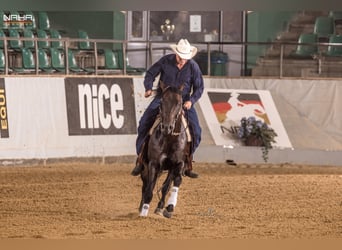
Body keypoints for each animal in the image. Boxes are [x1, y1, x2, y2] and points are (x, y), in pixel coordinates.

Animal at [140, 81, 192, 217]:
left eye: (179, 103)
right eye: (162, 101)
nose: (167, 127)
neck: (169, 139)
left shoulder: (178, 164)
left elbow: (171, 184)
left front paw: (167, 206)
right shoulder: (153, 163)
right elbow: (149, 189)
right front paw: (143, 212)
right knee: (145, 184)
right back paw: (141, 206)